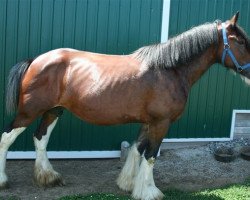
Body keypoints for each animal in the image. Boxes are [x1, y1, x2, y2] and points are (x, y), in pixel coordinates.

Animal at [0, 12, 250, 200]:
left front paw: (129, 184)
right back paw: (4, 180)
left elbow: (137, 150)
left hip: (53, 110)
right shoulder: (161, 123)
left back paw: (48, 177)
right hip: (29, 111)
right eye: (239, 41)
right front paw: (149, 192)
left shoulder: (149, 122)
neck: (170, 70)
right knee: (6, 138)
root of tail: (35, 60)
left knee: (40, 138)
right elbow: (150, 156)